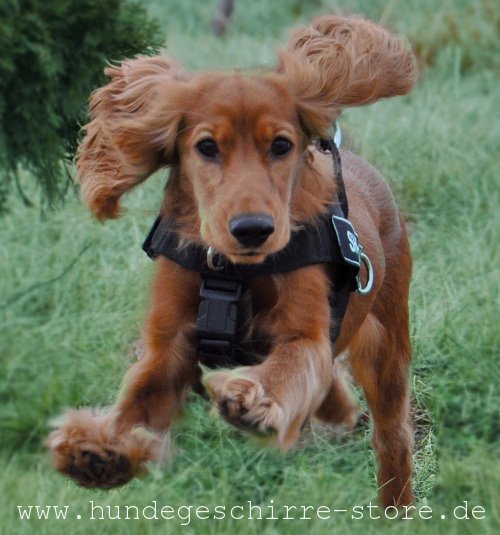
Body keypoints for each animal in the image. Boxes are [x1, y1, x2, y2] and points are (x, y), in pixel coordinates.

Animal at [49, 13, 418, 506]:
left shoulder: (305, 336)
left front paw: (255, 399)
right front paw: (101, 448)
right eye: (207, 147)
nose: (253, 229)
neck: (235, 272)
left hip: (387, 346)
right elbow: (139, 400)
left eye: (281, 146)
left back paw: (396, 506)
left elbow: (292, 366)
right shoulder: (169, 346)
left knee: (392, 435)